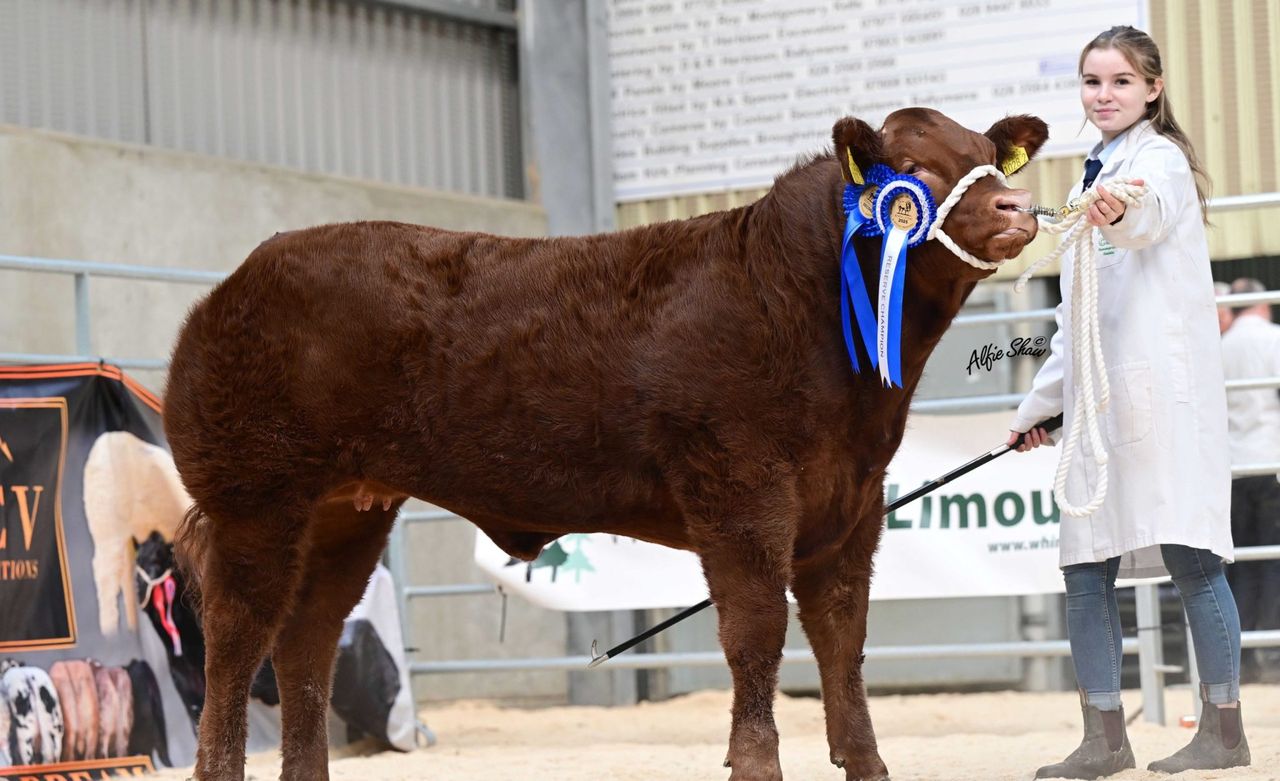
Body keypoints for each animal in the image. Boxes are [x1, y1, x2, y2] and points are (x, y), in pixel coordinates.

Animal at [163, 107, 1047, 781]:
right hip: (257, 499)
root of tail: (234, 285)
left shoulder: (853, 502)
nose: (1017, 208)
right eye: (912, 168)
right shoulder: (739, 488)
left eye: (985, 155)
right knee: (237, 638)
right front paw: (755, 762)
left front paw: (866, 764)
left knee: (307, 640)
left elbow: (843, 639)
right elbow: (756, 632)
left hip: (346, 511)